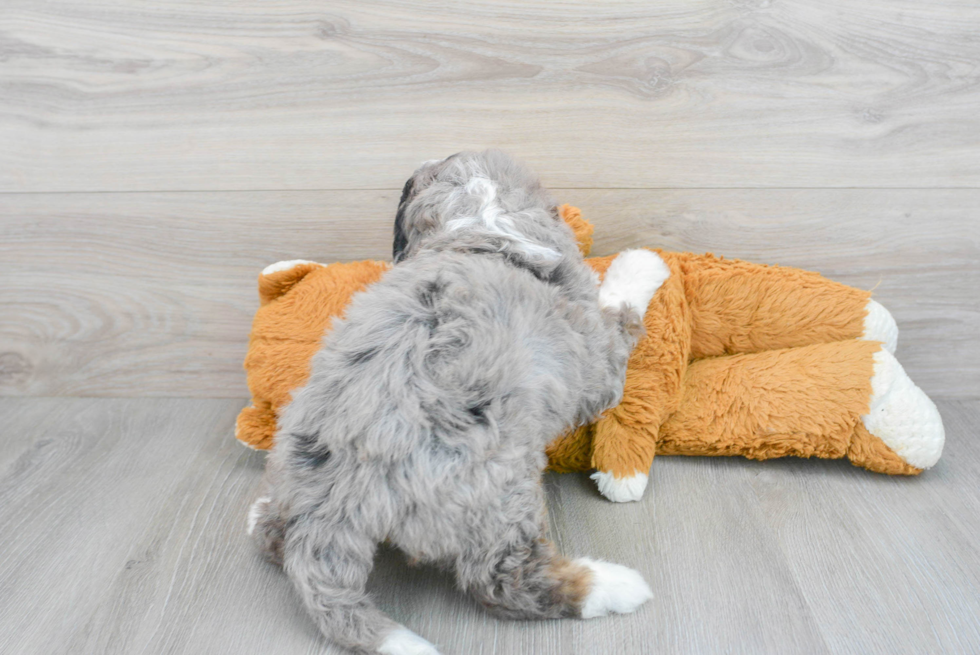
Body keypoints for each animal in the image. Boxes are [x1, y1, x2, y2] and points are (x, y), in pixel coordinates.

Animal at [251, 151, 668, 652]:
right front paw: (641, 265)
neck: (483, 232)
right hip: (501, 498)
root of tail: (333, 504)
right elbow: (618, 309)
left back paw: (259, 516)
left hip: (291, 457)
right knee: (503, 582)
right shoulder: (599, 361)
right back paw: (614, 586)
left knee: (273, 538)